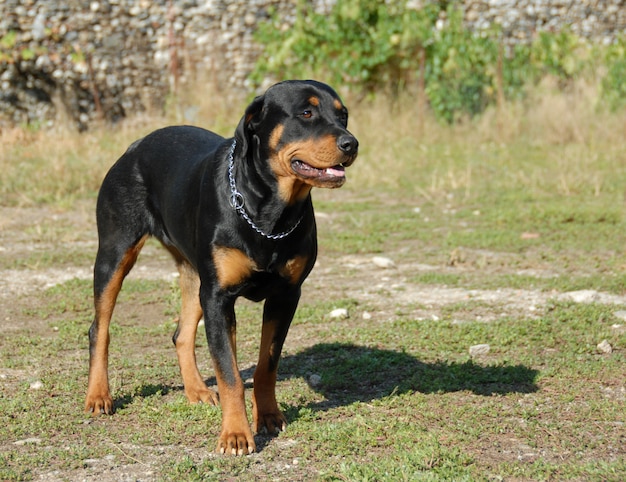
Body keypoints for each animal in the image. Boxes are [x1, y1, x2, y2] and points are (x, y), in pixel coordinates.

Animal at [84, 80, 356, 456]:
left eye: (343, 115)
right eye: (306, 112)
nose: (351, 143)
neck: (269, 212)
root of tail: (134, 147)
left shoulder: (285, 295)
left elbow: (266, 365)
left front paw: (268, 416)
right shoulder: (218, 297)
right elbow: (230, 373)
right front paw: (236, 435)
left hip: (194, 273)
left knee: (182, 334)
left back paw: (196, 391)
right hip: (115, 252)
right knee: (100, 328)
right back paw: (98, 395)